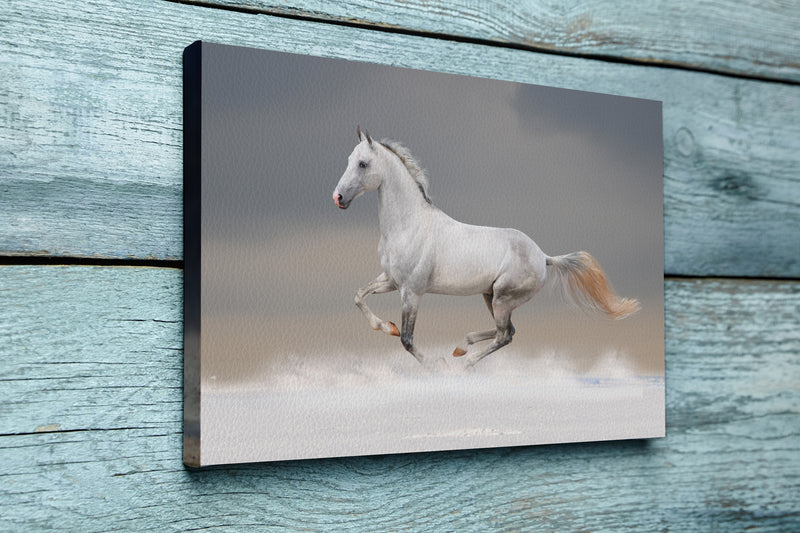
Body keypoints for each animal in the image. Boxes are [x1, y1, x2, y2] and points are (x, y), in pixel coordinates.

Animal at [330, 125, 636, 366]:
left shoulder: (412, 292)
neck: (409, 226)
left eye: (363, 164)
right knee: (507, 331)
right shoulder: (391, 281)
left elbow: (407, 339)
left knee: (504, 335)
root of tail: (544, 257)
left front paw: (435, 364)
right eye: (349, 159)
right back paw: (460, 349)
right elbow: (359, 296)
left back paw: (463, 362)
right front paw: (386, 327)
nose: (338, 197)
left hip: (503, 298)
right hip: (490, 296)